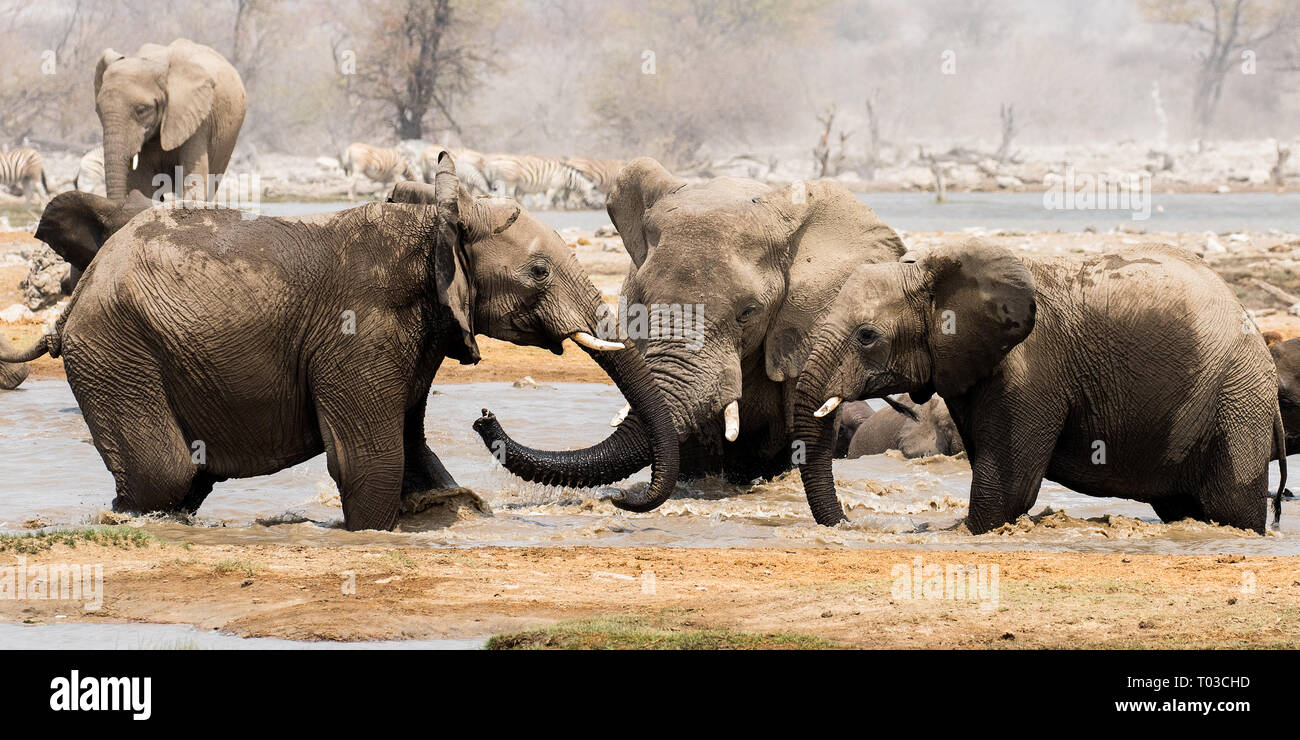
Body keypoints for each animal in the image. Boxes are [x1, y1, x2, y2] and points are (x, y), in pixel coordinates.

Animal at [0, 154, 678, 530]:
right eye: (539, 272)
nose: (486, 417)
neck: (431, 225)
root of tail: (80, 292)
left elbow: (412, 451)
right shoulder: (361, 329)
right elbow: (370, 459)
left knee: (181, 479)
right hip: (117, 349)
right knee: (164, 473)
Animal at [792, 241, 1286, 534]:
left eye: (867, 336)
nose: (848, 525)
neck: (934, 270)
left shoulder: (1031, 370)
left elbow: (1007, 490)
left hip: (1237, 400)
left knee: (1229, 507)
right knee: (1183, 507)